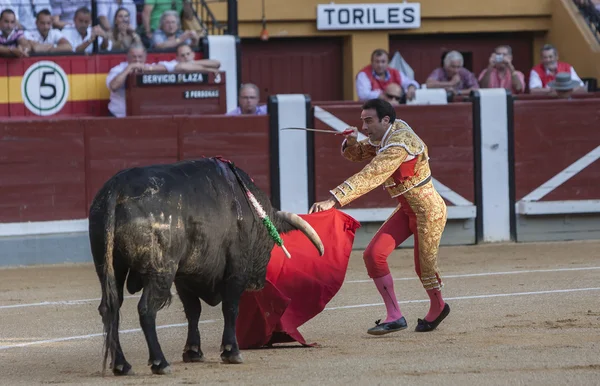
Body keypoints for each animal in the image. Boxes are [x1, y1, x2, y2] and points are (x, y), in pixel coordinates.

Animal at [88, 156, 324, 374]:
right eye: (270, 243)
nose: (258, 282)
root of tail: (116, 189)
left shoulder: (184, 277)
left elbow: (193, 310)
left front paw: (193, 352)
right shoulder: (236, 269)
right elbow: (230, 307)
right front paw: (231, 351)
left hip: (110, 268)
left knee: (111, 308)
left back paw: (122, 365)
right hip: (161, 271)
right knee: (146, 309)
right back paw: (159, 362)